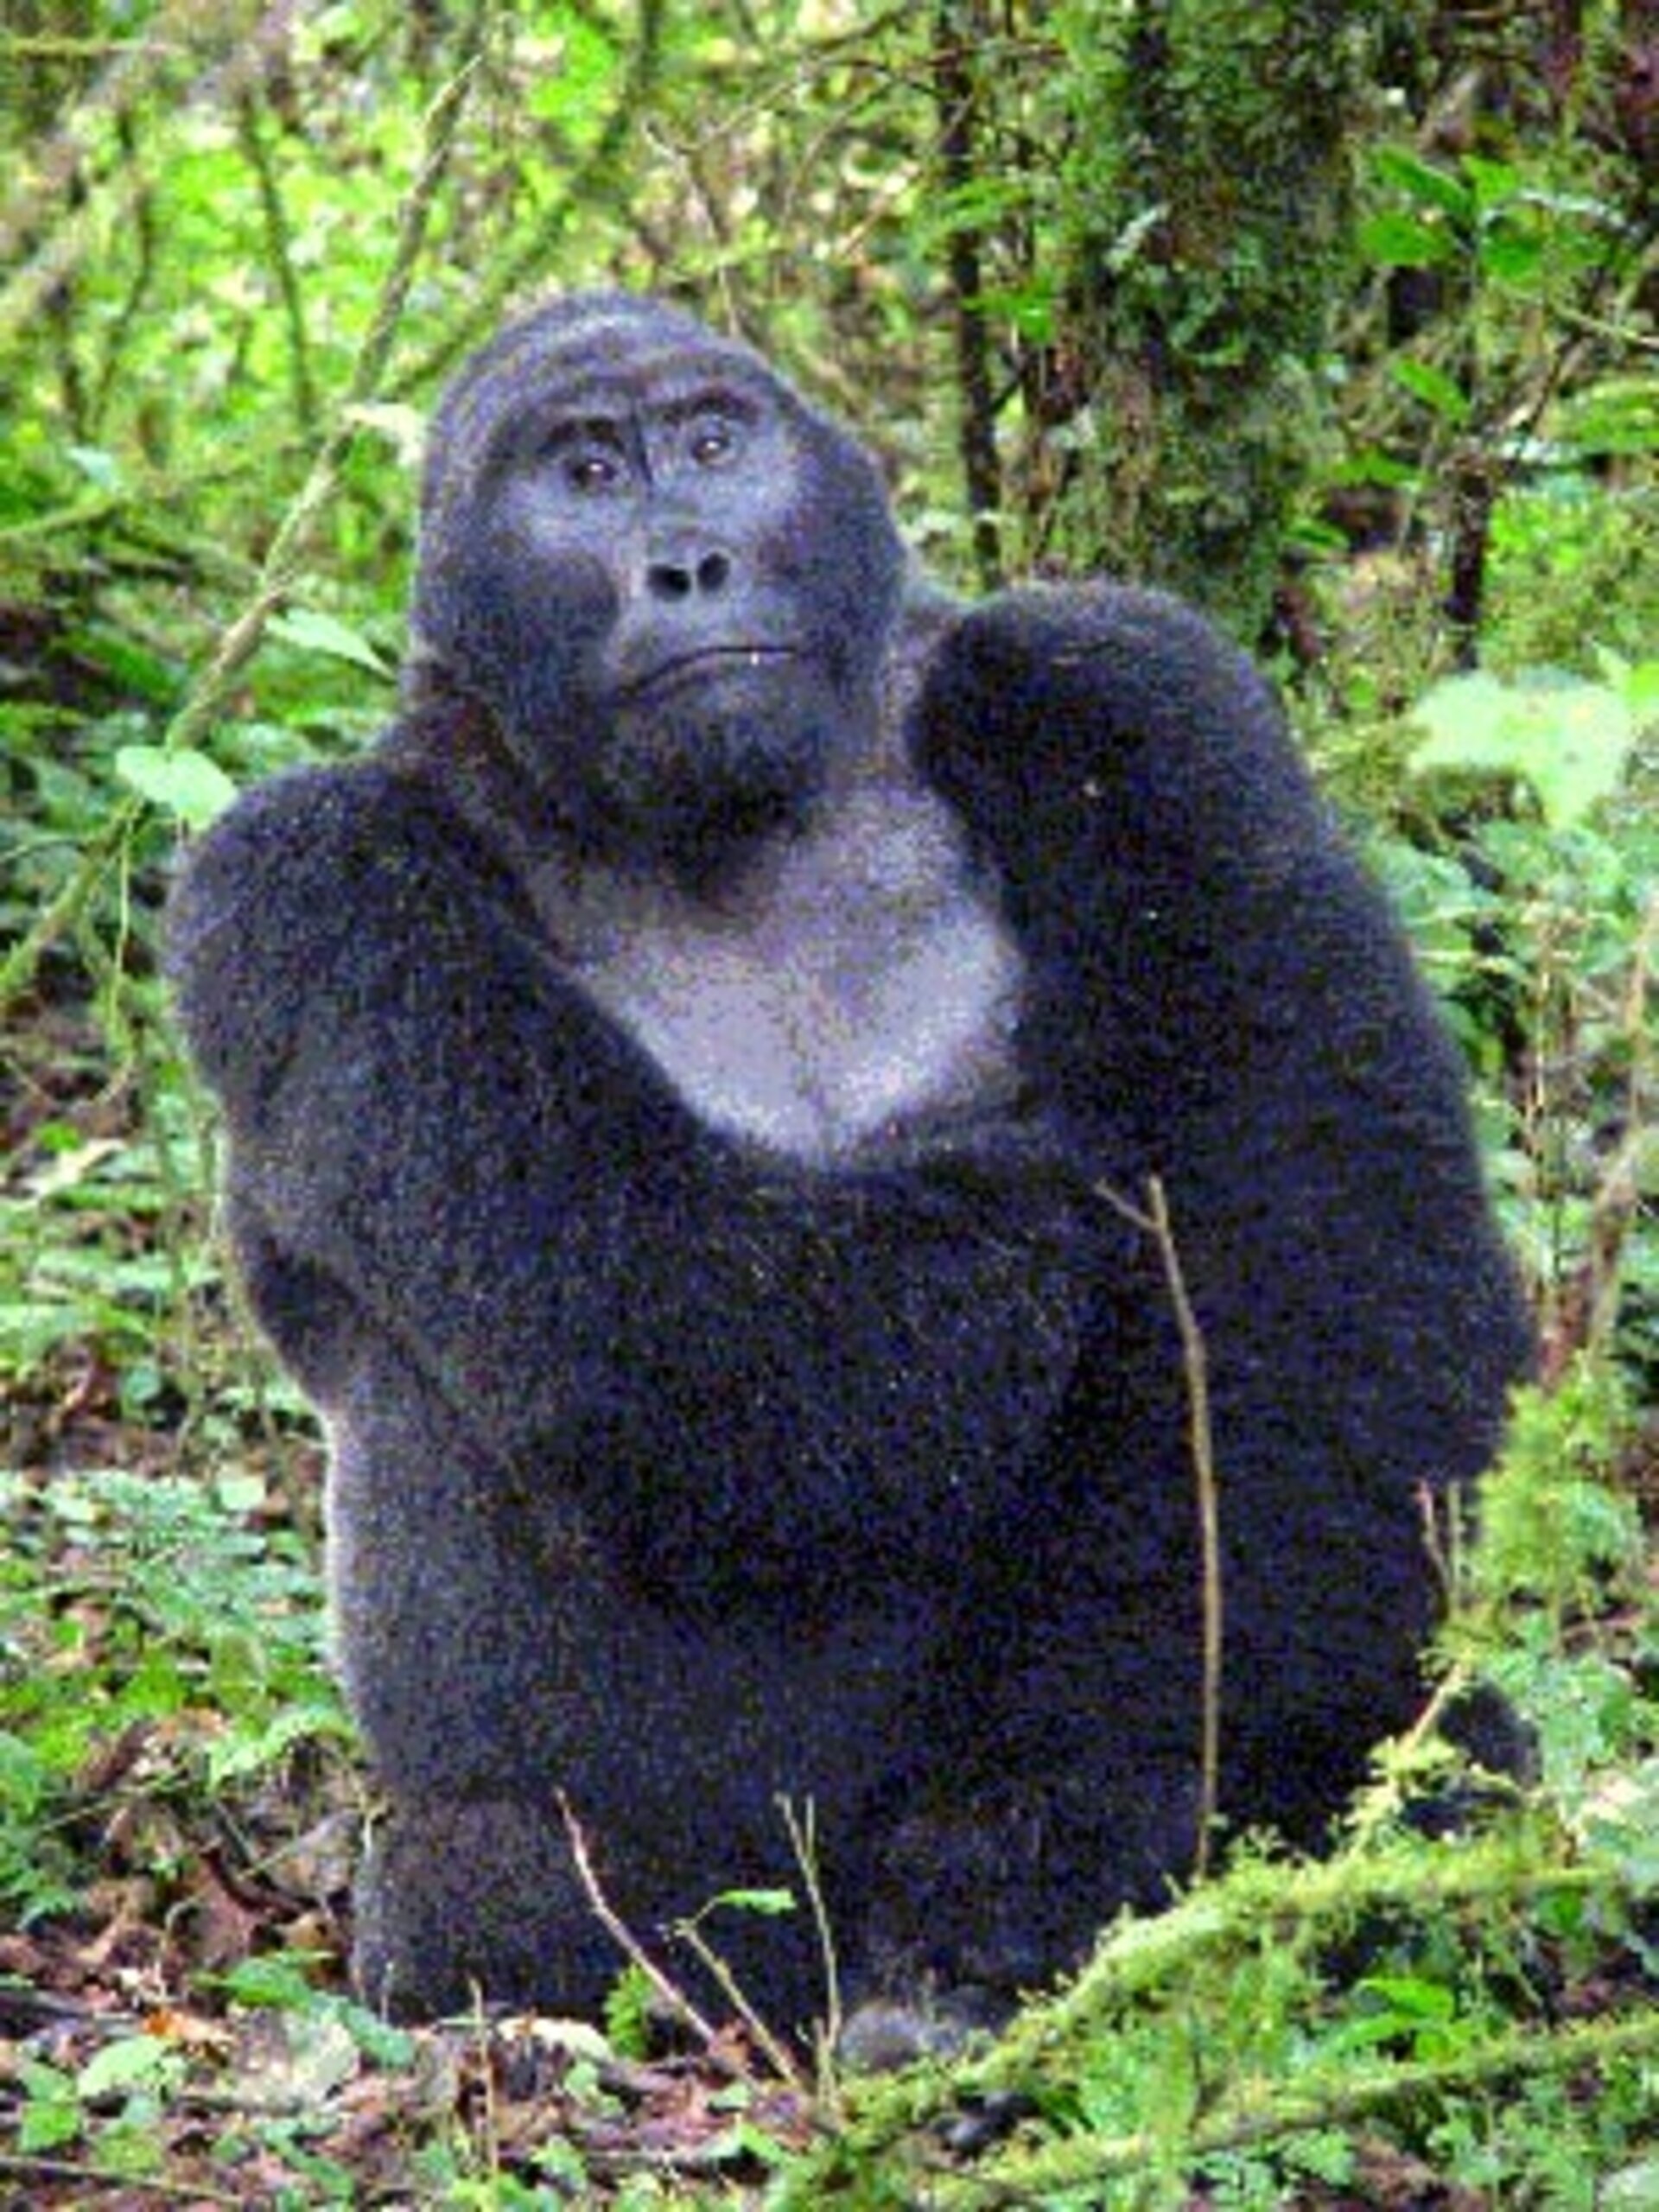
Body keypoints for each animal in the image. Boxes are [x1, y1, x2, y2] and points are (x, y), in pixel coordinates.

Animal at [162, 289, 1539, 2035]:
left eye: (711, 443)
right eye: (585, 474)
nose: (687, 560)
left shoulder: (1128, 680)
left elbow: (1340, 1258)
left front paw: (1047, 1853)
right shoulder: (290, 870)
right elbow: (685, 1325)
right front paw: (1028, 1210)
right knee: (489, 1900)